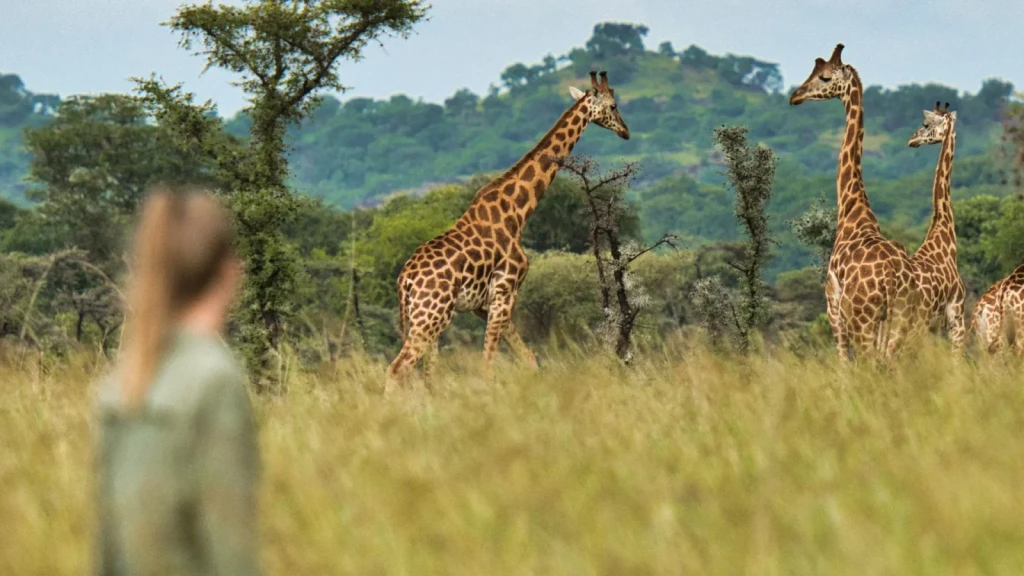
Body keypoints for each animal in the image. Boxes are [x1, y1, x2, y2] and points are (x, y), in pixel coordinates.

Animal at [386, 71, 630, 381]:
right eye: (613, 105)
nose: (626, 131)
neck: (516, 213)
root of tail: (405, 280)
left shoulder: (484, 304)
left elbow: (528, 358)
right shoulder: (504, 291)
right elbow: (488, 364)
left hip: (429, 316)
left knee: (428, 372)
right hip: (432, 314)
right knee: (397, 368)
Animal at [788, 44, 919, 360]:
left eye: (824, 77)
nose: (795, 96)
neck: (852, 209)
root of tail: (892, 278)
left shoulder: (833, 304)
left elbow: (842, 361)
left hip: (864, 319)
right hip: (900, 318)